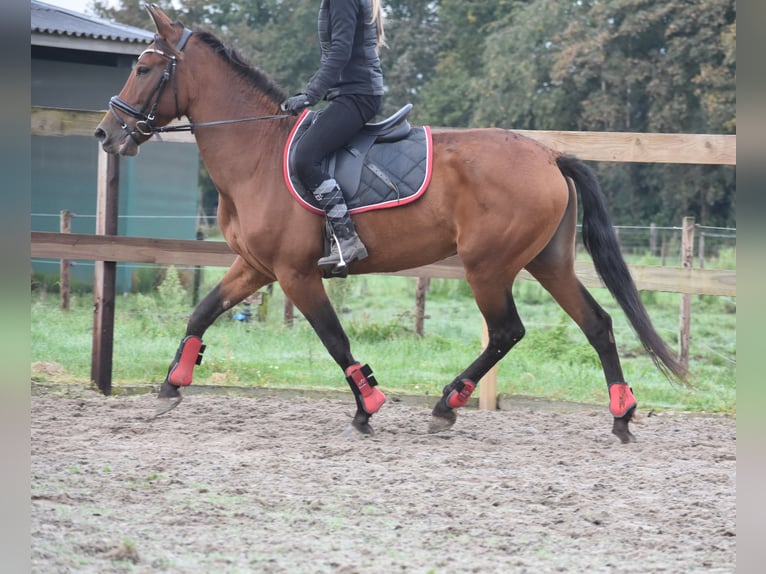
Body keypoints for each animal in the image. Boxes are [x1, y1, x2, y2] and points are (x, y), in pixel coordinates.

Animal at [93, 4, 688, 444]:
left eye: (144, 69)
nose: (106, 134)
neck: (256, 152)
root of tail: (549, 155)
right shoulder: (257, 267)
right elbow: (200, 313)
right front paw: (171, 386)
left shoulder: (295, 274)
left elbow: (333, 339)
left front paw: (367, 406)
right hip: (548, 262)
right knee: (598, 324)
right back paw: (621, 414)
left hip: (488, 266)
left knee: (508, 331)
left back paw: (447, 404)